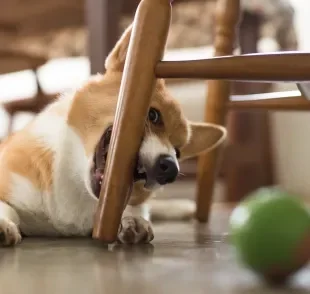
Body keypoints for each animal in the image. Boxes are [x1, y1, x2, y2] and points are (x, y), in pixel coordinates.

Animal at [0, 25, 225, 246]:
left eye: (178, 152)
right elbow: (8, 208)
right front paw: (4, 225)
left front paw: (133, 220)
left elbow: (134, 208)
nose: (171, 169)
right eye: (153, 115)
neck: (77, 183)